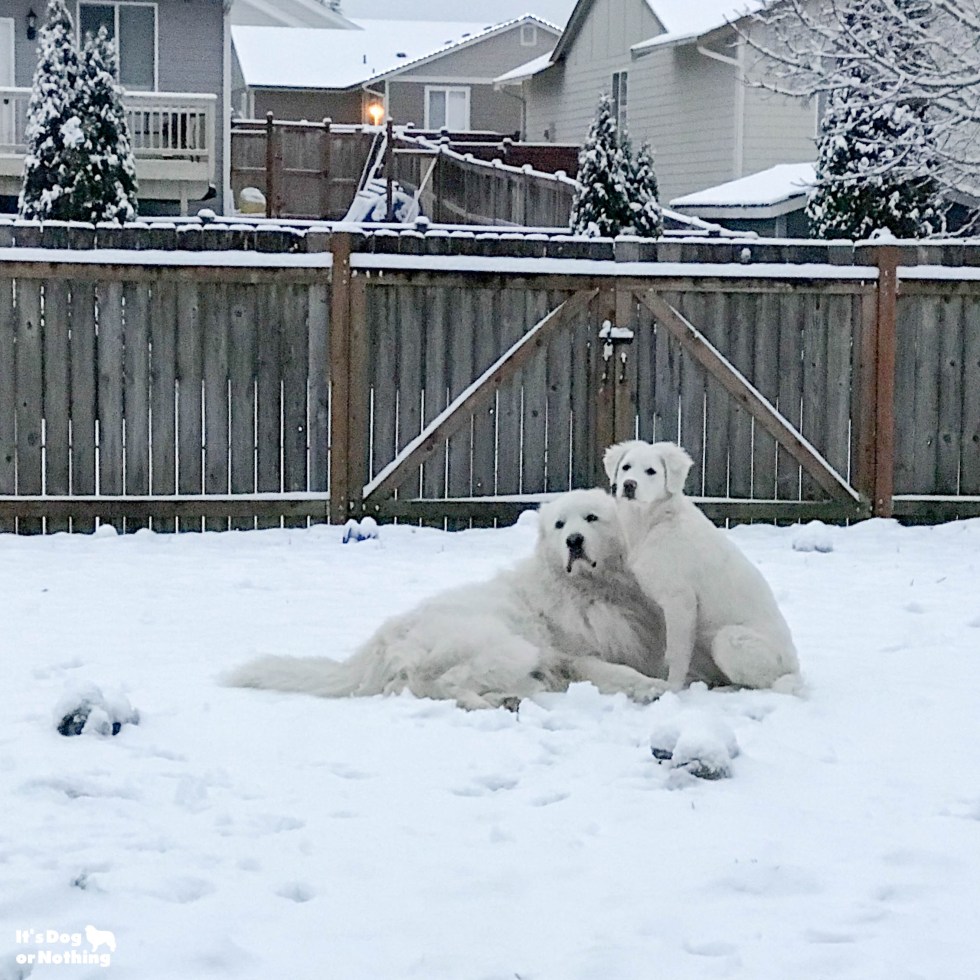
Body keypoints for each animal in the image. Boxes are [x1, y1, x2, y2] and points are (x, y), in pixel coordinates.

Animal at [224, 490, 668, 712]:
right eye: (560, 525)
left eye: (591, 518)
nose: (573, 541)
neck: (592, 589)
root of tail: (384, 636)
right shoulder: (576, 658)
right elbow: (619, 672)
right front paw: (651, 688)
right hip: (508, 646)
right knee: (441, 683)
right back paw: (487, 704)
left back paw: (505, 699)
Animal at [604, 440, 804, 692]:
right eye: (626, 467)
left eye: (651, 471)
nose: (629, 485)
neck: (654, 522)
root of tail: (794, 670)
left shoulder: (681, 600)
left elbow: (676, 654)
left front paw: (672, 688)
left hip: (727, 639)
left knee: (762, 683)